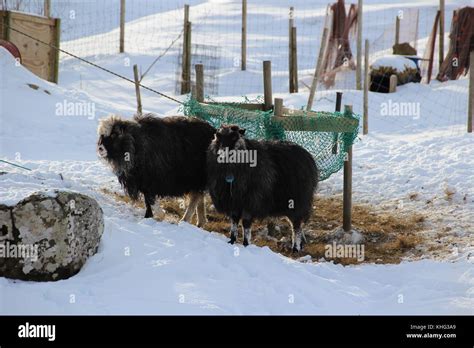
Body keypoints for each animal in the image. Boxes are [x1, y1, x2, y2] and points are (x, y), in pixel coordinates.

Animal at [207, 123, 318, 251]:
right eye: (218, 136)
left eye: (235, 137)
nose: (222, 154)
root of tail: (309, 156)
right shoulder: (234, 202)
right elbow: (234, 222)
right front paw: (232, 240)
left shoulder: (250, 201)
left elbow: (246, 224)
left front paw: (246, 243)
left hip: (297, 202)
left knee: (297, 226)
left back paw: (295, 248)